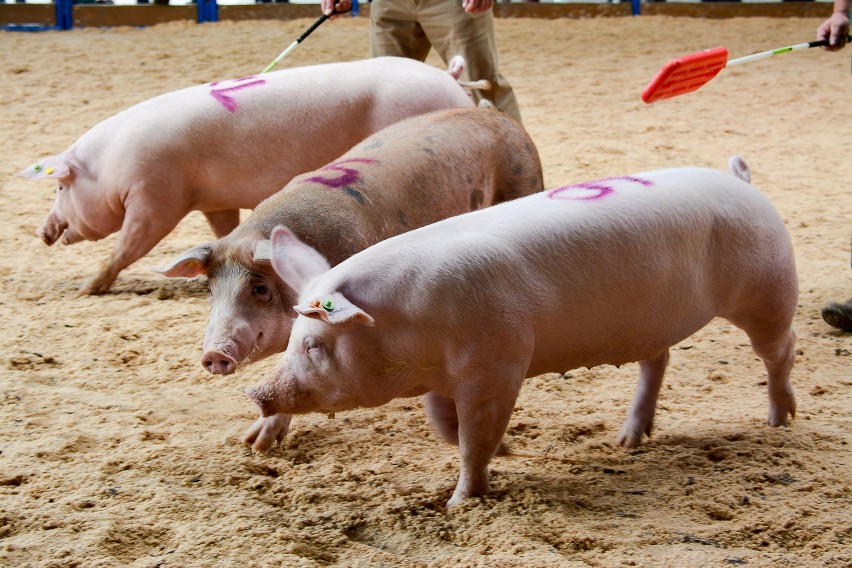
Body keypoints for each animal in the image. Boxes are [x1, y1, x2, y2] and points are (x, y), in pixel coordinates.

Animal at [16, 56, 482, 298]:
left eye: (60, 185)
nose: (42, 231)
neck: (110, 170)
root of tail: (447, 77)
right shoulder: (212, 200)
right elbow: (224, 228)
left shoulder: (155, 195)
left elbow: (130, 245)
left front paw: (84, 290)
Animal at [246, 155, 800, 506]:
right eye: (292, 341)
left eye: (315, 344)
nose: (258, 392)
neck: (410, 326)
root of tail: (743, 183)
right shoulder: (445, 374)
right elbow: (443, 422)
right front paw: (506, 452)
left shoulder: (499, 364)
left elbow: (475, 439)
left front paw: (459, 502)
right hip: (654, 320)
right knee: (657, 360)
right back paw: (627, 441)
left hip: (769, 289)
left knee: (780, 351)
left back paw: (779, 421)